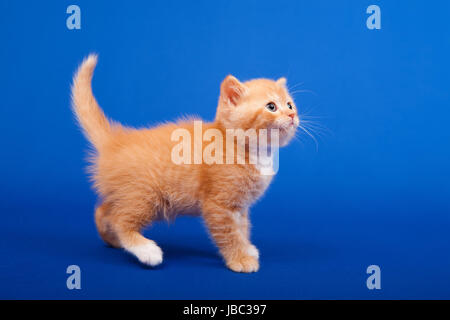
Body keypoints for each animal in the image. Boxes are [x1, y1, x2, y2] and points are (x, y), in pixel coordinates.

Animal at [72, 55, 298, 272]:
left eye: (289, 104)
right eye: (271, 106)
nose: (292, 115)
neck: (251, 150)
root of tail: (115, 141)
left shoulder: (240, 205)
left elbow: (242, 227)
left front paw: (247, 248)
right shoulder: (218, 204)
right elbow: (229, 233)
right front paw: (240, 258)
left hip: (127, 193)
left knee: (103, 211)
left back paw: (113, 240)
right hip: (146, 194)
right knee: (119, 219)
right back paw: (146, 250)